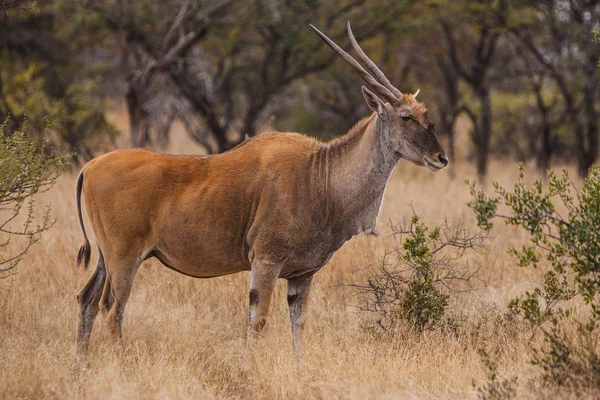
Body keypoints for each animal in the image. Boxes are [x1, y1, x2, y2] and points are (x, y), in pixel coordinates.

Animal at [75, 21, 448, 366]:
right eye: (405, 116)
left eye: (424, 114)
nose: (441, 158)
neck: (319, 176)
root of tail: (90, 166)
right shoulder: (266, 262)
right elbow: (259, 321)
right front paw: (247, 371)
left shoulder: (302, 276)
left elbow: (298, 323)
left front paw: (299, 372)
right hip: (124, 258)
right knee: (112, 308)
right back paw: (121, 364)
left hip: (107, 259)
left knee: (87, 300)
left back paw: (81, 364)